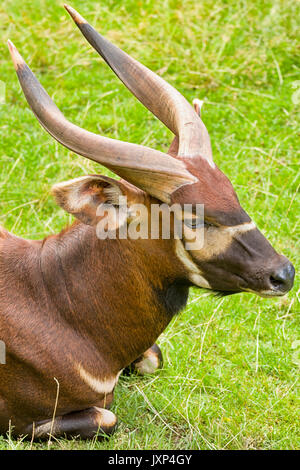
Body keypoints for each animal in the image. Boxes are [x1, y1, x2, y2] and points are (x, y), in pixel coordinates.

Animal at [0, 3, 294, 438]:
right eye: (193, 218)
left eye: (233, 194)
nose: (283, 274)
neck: (50, 296)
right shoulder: (24, 423)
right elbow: (107, 415)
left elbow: (154, 358)